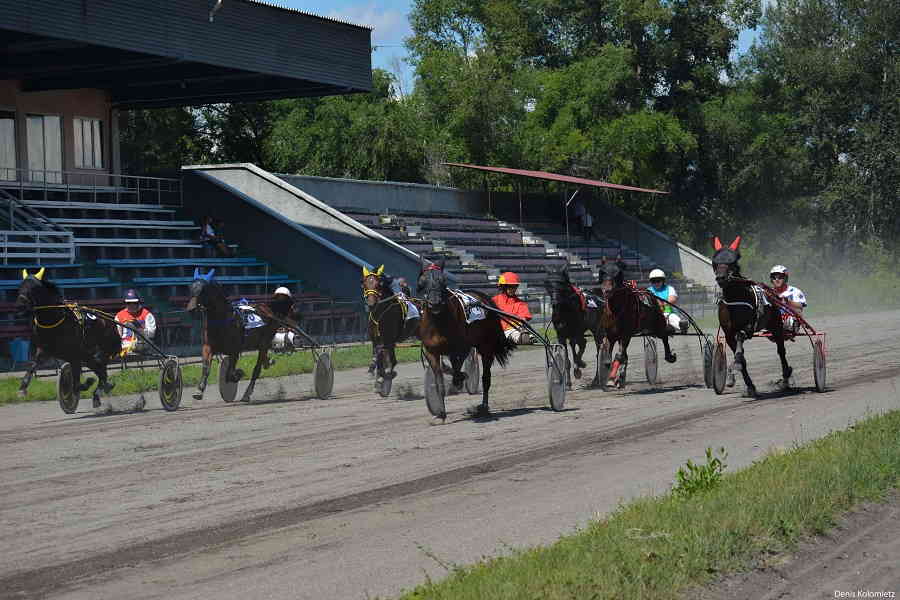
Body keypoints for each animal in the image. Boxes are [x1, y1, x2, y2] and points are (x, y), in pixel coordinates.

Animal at [15, 270, 121, 408]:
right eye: (20, 287)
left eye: (33, 289)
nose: (20, 306)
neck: (54, 321)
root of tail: (110, 320)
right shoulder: (44, 351)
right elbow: (32, 366)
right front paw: (22, 389)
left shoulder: (75, 354)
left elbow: (77, 384)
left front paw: (88, 382)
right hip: (89, 356)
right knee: (100, 370)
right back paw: (100, 392)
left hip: (100, 352)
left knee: (101, 371)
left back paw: (102, 389)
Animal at [185, 268, 278, 404]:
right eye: (190, 287)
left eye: (203, 290)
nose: (191, 310)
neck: (221, 322)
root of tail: (265, 309)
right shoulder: (208, 347)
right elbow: (206, 367)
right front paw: (199, 391)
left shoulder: (234, 350)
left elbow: (230, 374)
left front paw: (239, 373)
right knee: (263, 361)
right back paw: (268, 362)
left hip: (264, 342)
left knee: (257, 369)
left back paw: (247, 394)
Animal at [418, 260, 516, 420]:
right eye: (422, 281)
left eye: (443, 281)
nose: (435, 303)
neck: (439, 321)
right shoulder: (431, 352)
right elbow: (439, 380)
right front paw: (441, 413)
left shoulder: (462, 347)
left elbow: (459, 368)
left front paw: (461, 378)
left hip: (486, 347)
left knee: (486, 378)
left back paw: (483, 407)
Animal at [596, 258, 676, 390]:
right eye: (602, 272)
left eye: (618, 273)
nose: (606, 290)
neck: (616, 309)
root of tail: (650, 293)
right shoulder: (611, 334)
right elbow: (608, 359)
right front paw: (612, 378)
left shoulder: (626, 334)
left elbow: (619, 356)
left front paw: (612, 379)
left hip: (657, 324)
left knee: (664, 336)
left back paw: (670, 356)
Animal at [712, 236, 792, 398]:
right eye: (715, 261)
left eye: (733, 262)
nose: (721, 278)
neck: (735, 300)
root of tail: (773, 293)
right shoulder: (728, 334)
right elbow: (742, 358)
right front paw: (749, 386)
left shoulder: (748, 327)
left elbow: (740, 338)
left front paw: (735, 365)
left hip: (776, 325)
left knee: (781, 350)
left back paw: (786, 378)